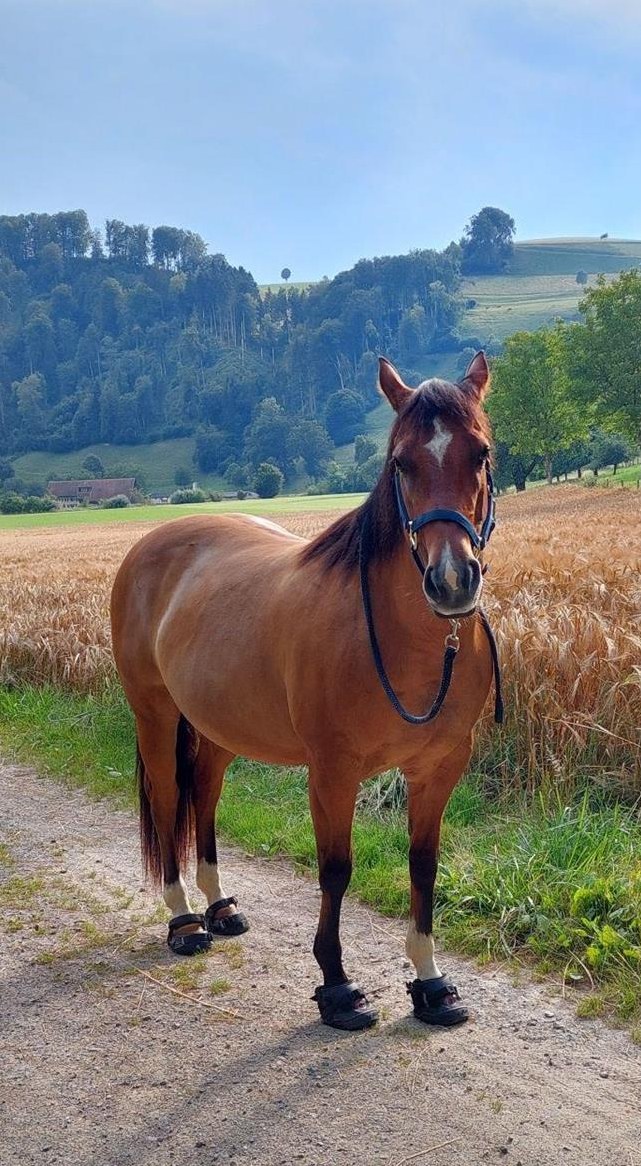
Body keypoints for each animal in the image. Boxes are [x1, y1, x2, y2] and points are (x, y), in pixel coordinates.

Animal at [110, 352, 500, 1032]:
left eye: (479, 453)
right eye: (402, 463)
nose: (452, 581)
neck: (405, 642)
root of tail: (150, 544)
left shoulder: (439, 768)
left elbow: (423, 865)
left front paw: (430, 983)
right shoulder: (333, 770)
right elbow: (335, 870)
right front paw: (337, 987)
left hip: (218, 725)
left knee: (204, 793)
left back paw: (220, 908)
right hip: (154, 715)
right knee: (165, 799)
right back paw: (184, 920)